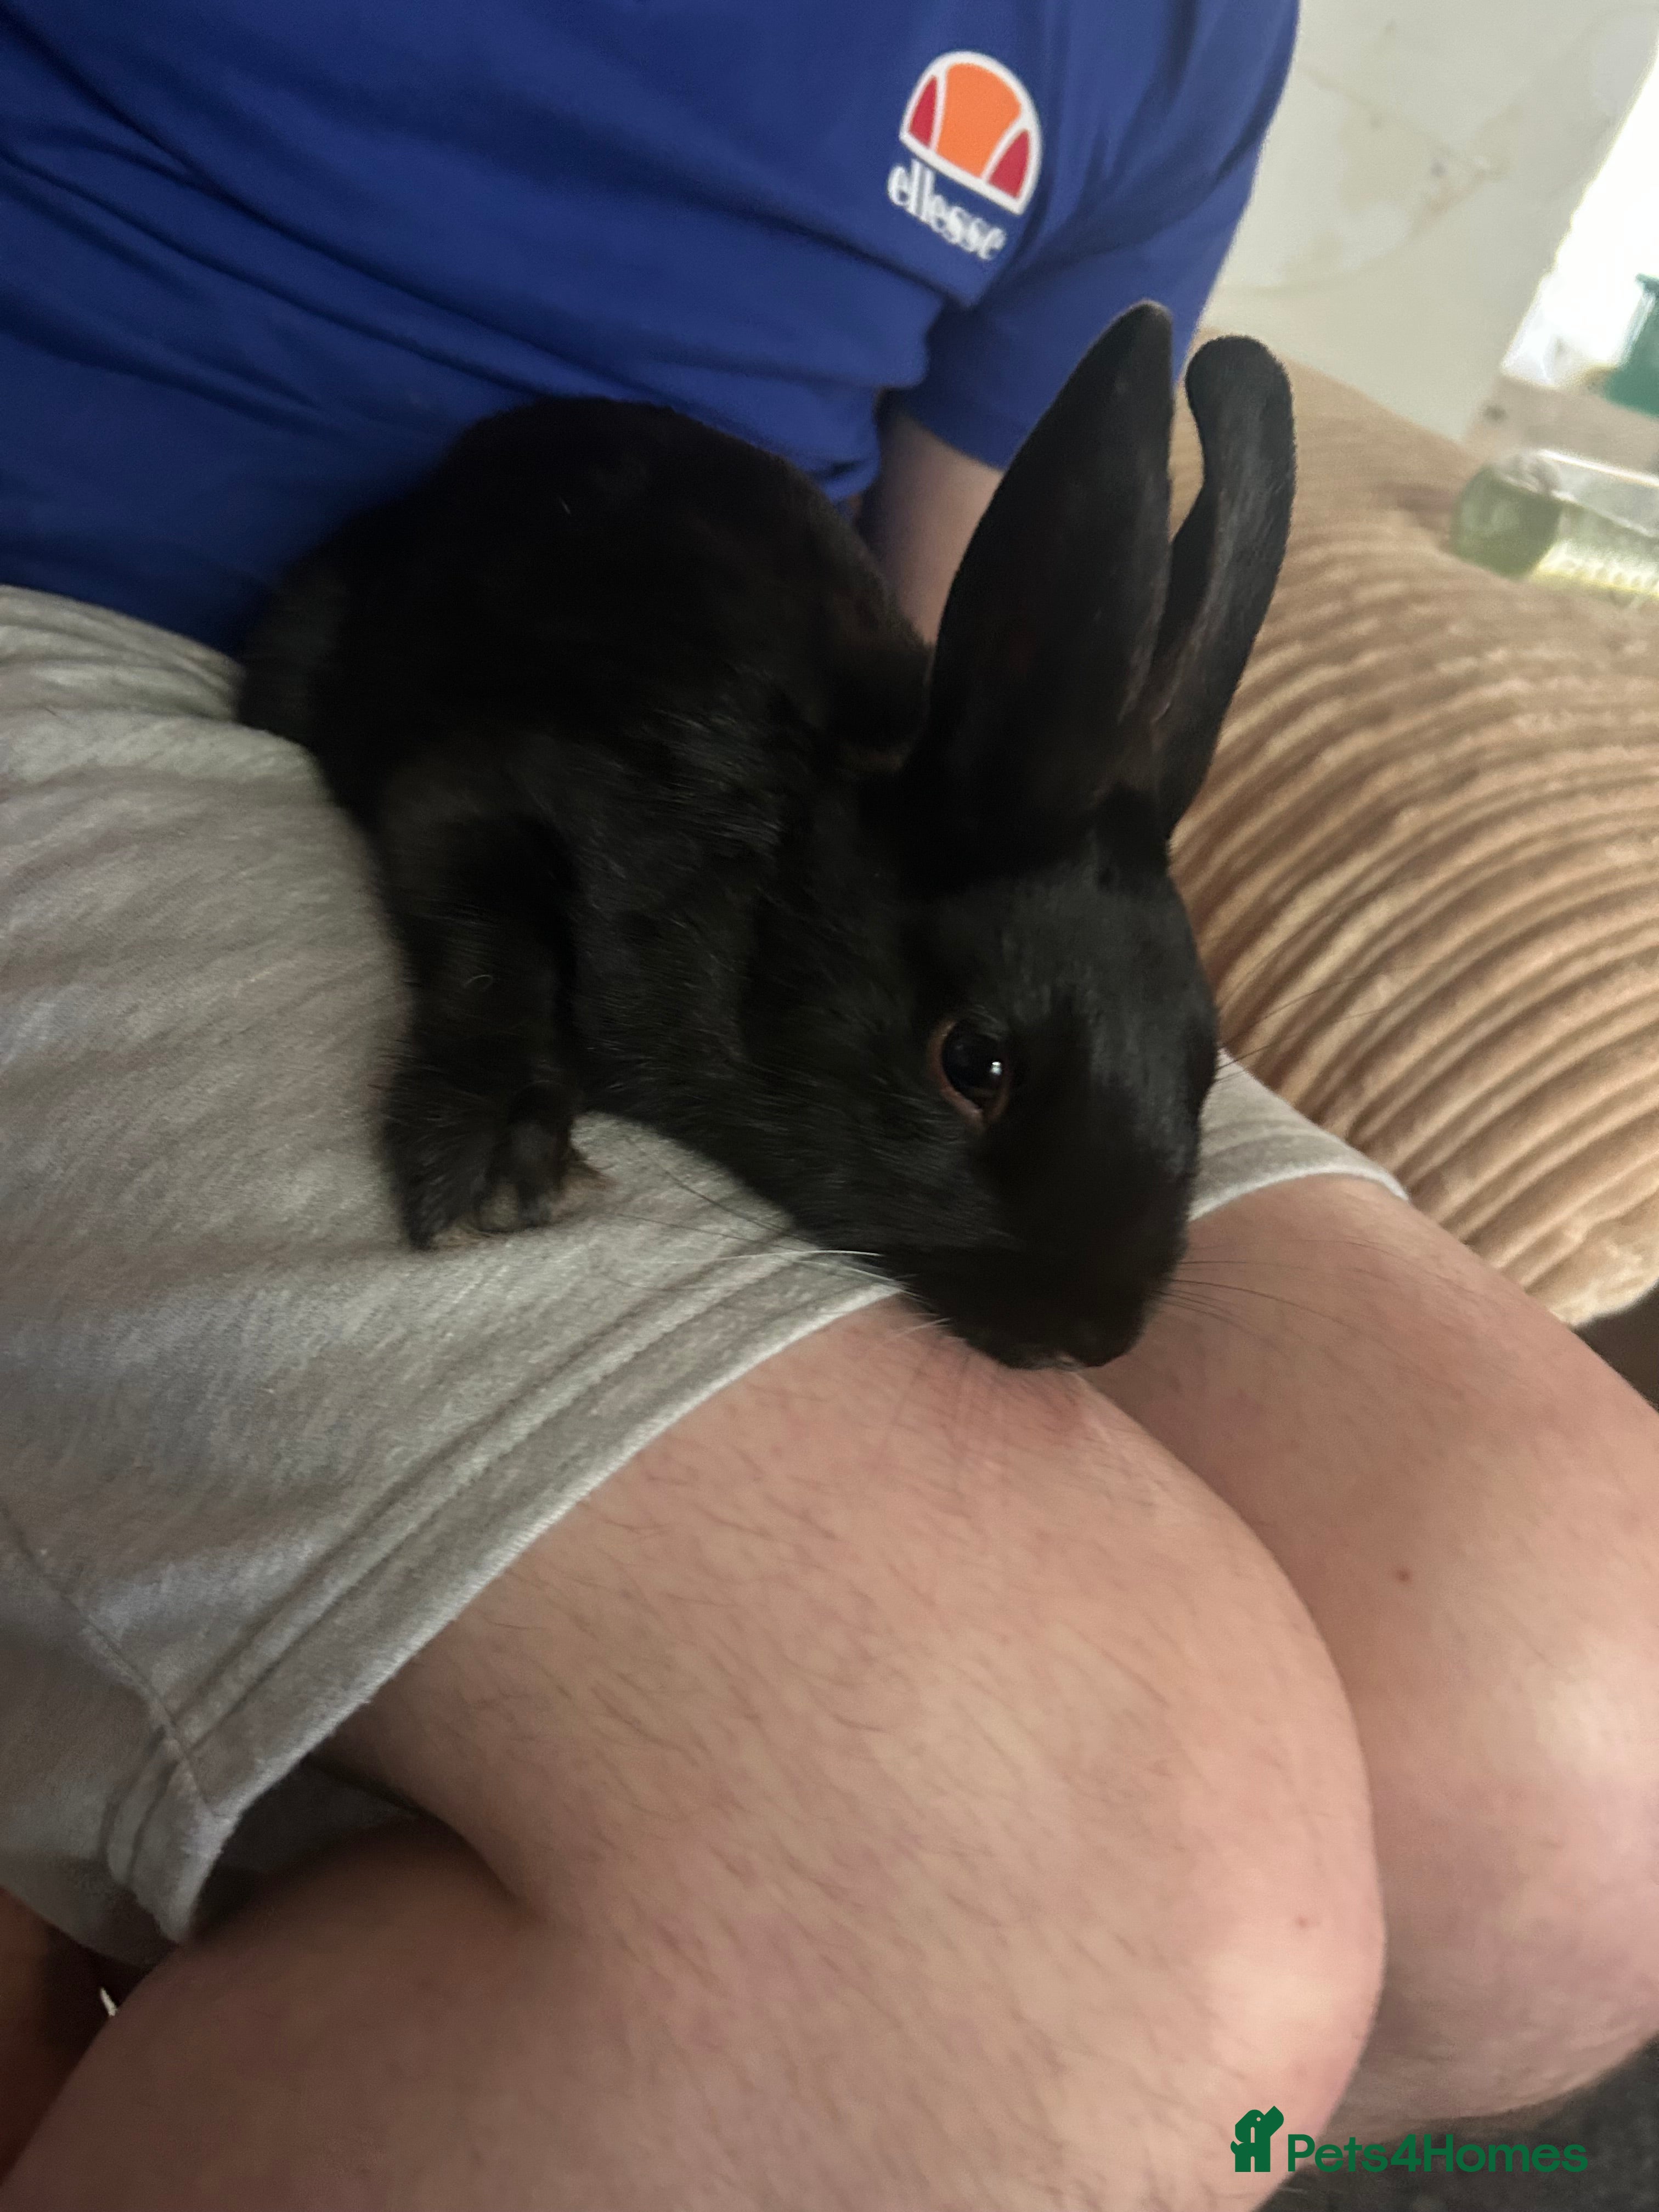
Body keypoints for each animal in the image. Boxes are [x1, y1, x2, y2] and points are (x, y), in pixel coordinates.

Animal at [238, 302, 1294, 1369]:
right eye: (972, 1065)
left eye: (1201, 1072)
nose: (1095, 1336)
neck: (778, 896)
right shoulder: (484, 791)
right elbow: (503, 944)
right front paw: (490, 1161)